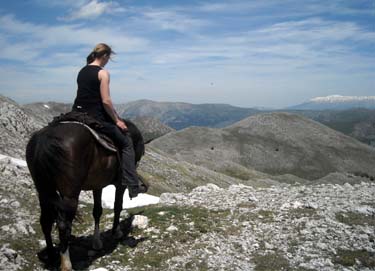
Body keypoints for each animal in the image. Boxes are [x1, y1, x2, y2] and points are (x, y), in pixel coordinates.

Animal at [25, 119, 145, 271]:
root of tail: (45, 139)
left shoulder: (98, 186)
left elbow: (97, 211)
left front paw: (97, 242)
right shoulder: (120, 184)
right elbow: (118, 206)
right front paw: (116, 232)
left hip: (44, 191)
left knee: (46, 221)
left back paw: (52, 256)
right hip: (70, 195)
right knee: (63, 225)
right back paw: (66, 263)